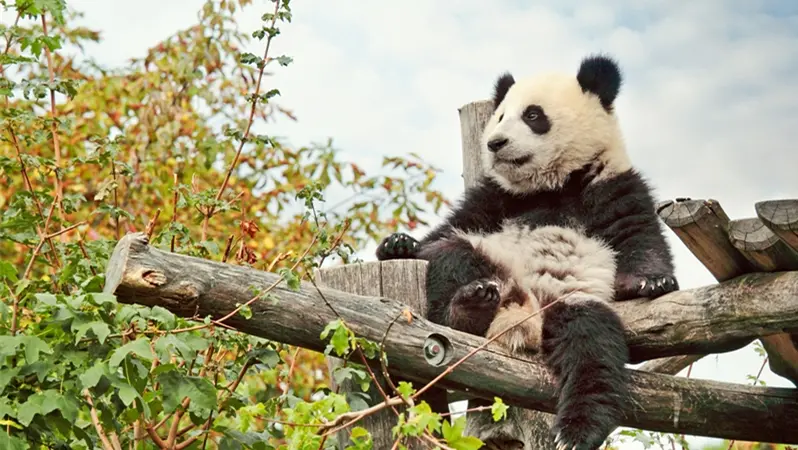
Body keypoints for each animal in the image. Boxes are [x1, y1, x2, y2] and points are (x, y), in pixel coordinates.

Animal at [375, 54, 678, 450]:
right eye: (501, 116)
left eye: (533, 115)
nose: (495, 142)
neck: (552, 185)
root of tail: (523, 313)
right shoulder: (494, 197)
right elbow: (451, 226)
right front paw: (398, 243)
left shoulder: (611, 181)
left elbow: (637, 232)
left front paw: (652, 281)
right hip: (486, 260)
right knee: (452, 256)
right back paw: (470, 306)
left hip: (570, 302)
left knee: (592, 347)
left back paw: (576, 431)